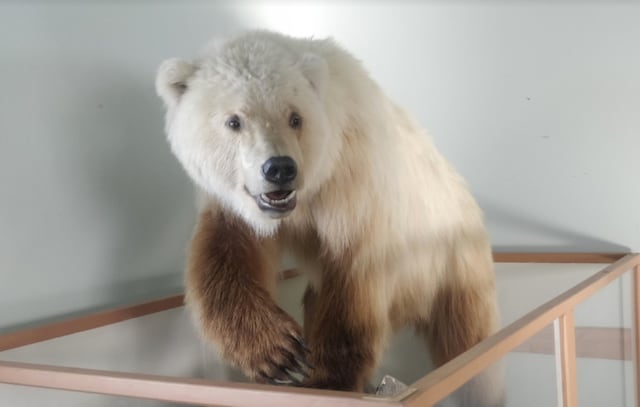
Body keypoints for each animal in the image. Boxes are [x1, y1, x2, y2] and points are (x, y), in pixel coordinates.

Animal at [156, 30, 504, 406]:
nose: (280, 169)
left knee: (469, 339)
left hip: (453, 259)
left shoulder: (353, 186)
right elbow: (224, 259)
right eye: (234, 121)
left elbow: (353, 280)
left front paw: (327, 380)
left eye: (295, 117)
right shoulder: (233, 208)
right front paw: (280, 355)